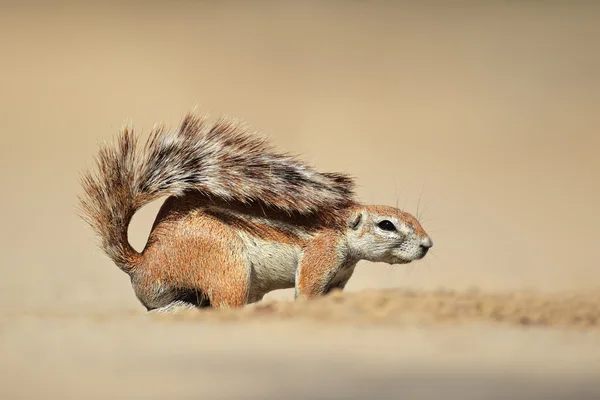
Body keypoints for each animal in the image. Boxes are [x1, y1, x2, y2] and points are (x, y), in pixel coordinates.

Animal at [78, 111, 432, 310]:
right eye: (387, 225)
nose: (428, 245)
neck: (343, 231)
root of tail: (143, 264)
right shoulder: (320, 256)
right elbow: (306, 296)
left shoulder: (339, 278)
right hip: (226, 261)